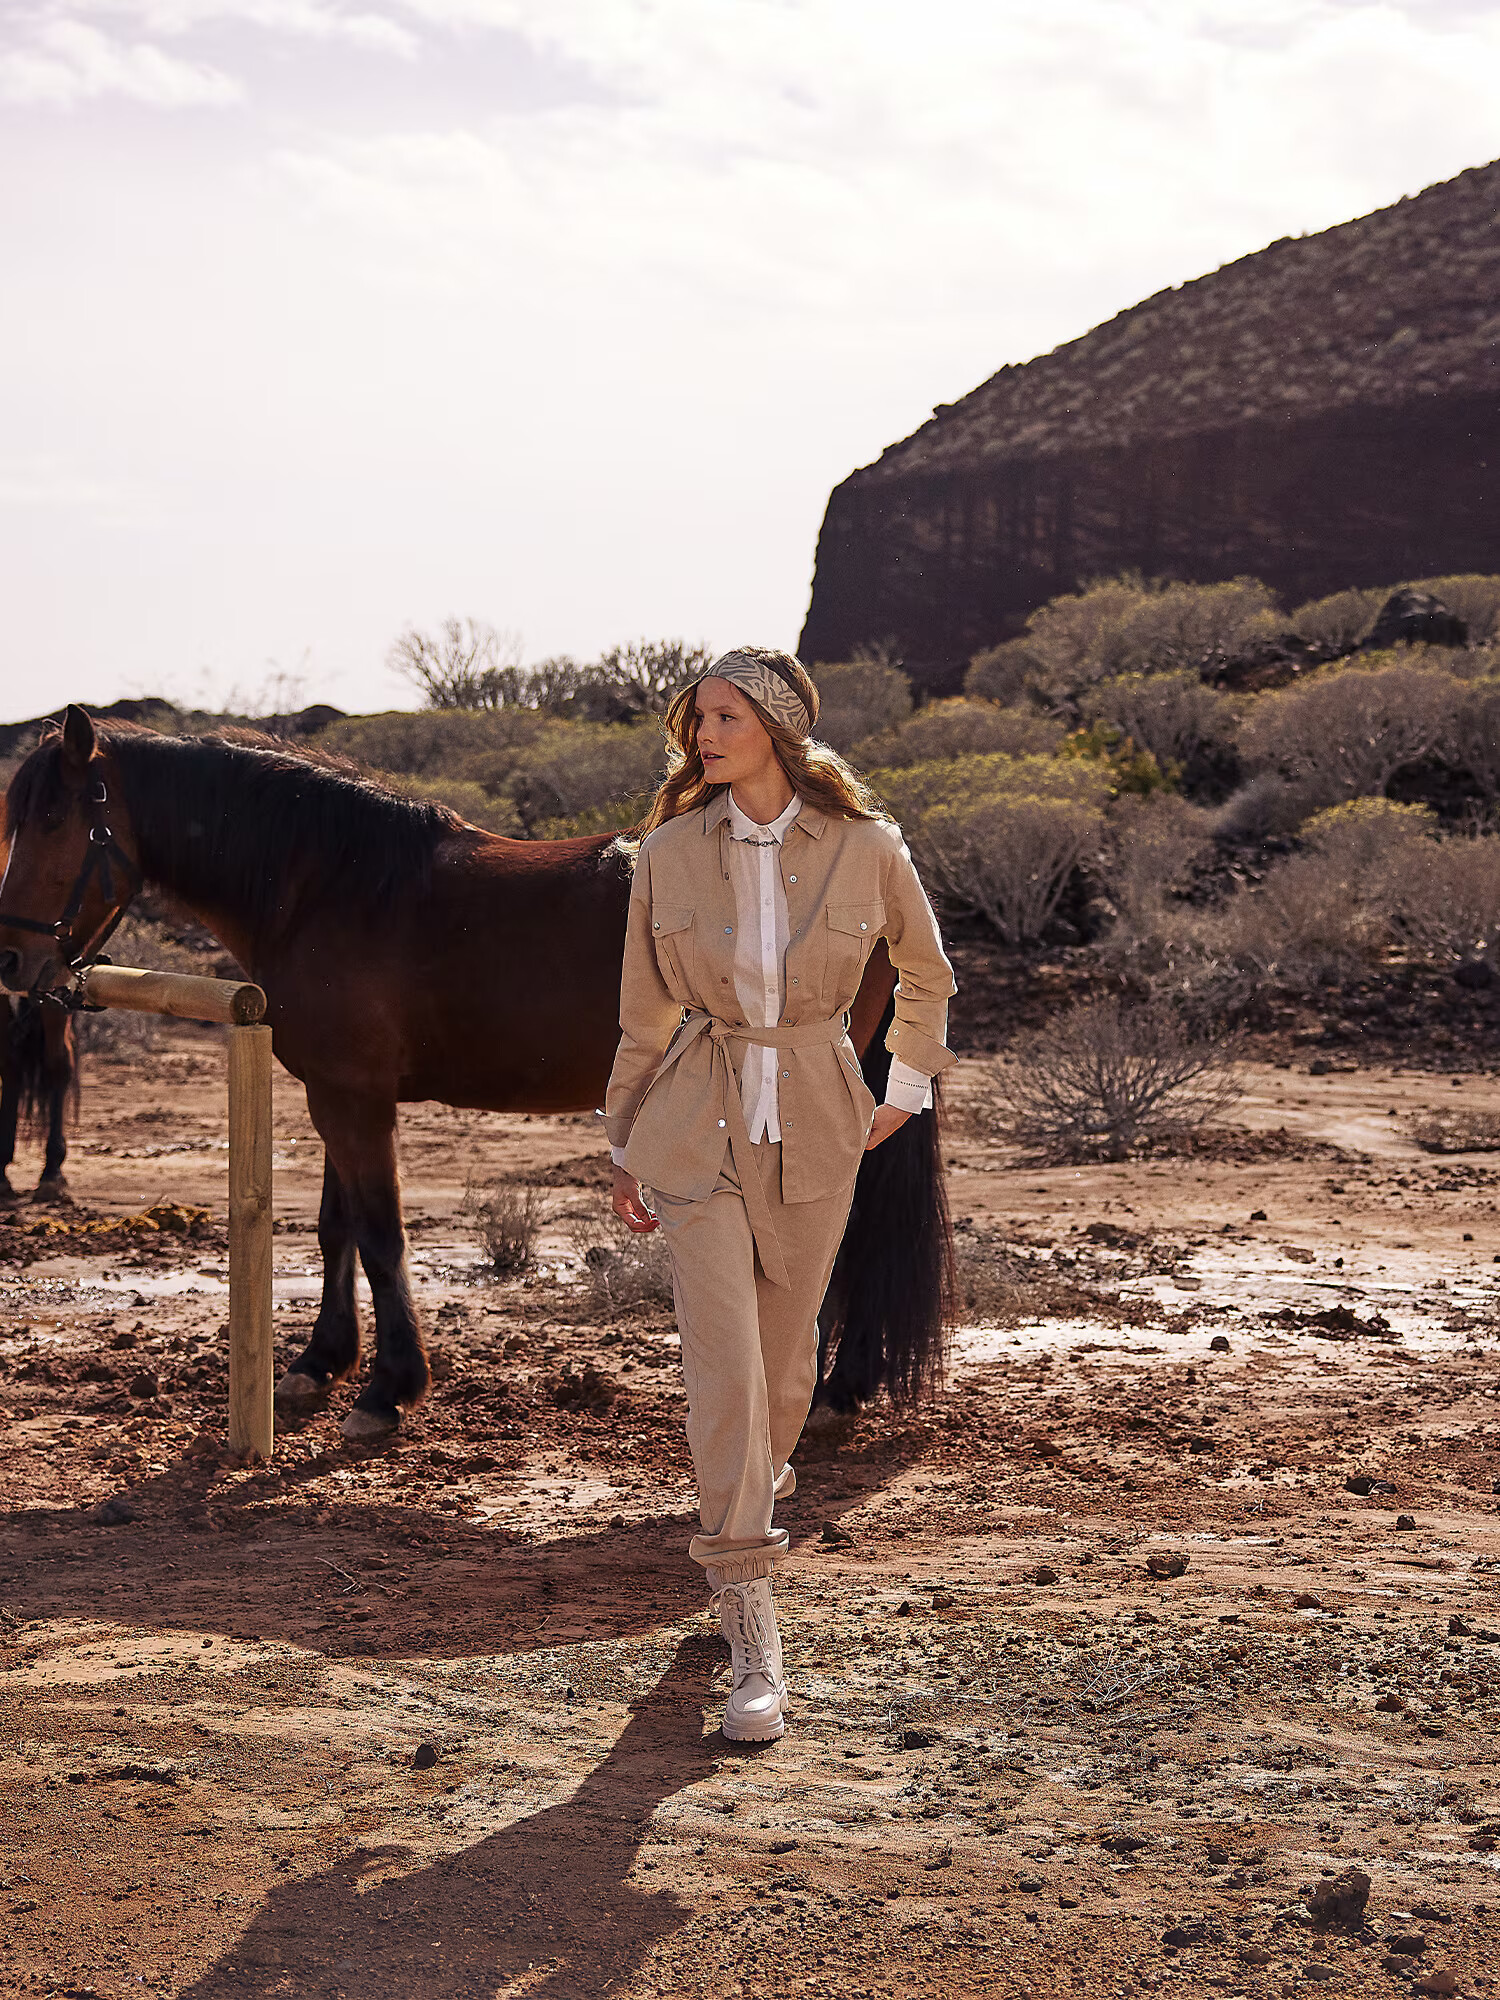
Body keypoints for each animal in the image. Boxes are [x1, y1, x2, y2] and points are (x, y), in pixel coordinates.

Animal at [0, 712, 956, 1432]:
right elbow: (337, 1229)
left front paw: (389, 1389)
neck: (325, 886)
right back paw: (844, 1387)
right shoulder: (334, 1093)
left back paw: (825, 1392)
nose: (15, 966)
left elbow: (381, 1233)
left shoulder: (354, 1100)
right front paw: (321, 1362)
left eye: (51, 821)